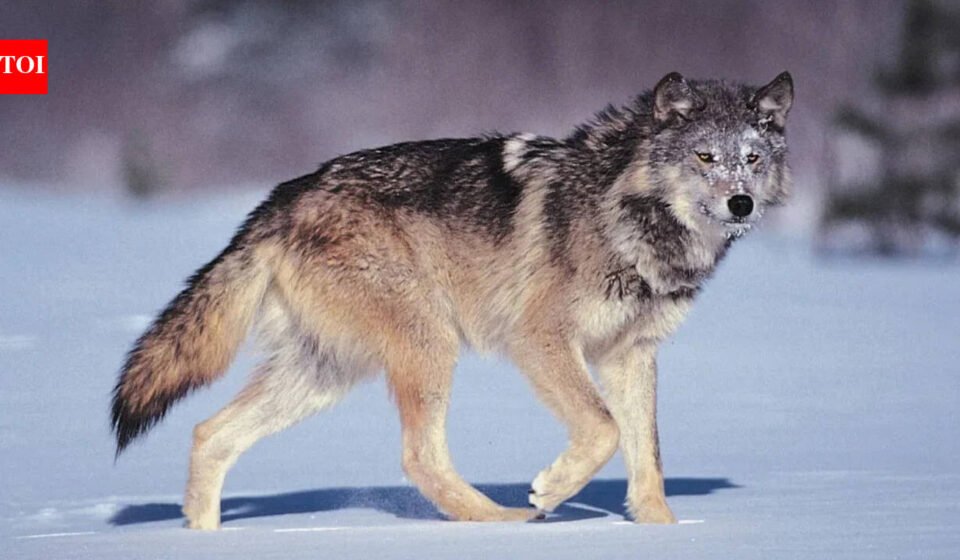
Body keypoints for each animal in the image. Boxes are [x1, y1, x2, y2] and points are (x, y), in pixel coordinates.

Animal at [111, 71, 793, 529]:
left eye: (751, 159)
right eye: (705, 157)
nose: (741, 204)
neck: (630, 218)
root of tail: (282, 198)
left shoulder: (632, 352)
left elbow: (645, 452)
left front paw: (662, 532)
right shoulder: (540, 339)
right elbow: (602, 429)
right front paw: (550, 492)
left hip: (324, 374)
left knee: (208, 433)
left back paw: (202, 538)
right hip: (428, 343)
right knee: (419, 457)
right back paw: (504, 522)